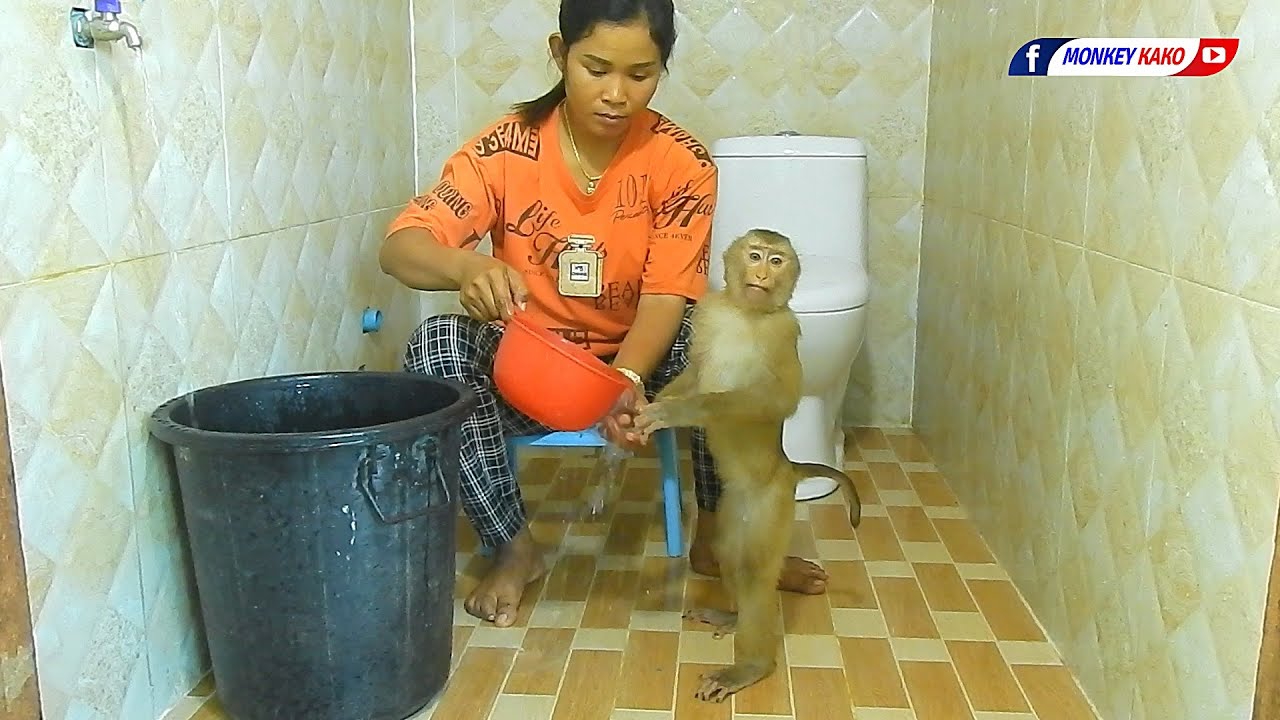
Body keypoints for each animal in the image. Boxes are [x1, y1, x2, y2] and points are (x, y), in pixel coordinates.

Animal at [633, 228, 862, 702]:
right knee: (729, 554)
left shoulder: (784, 329)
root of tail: (786, 468)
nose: (761, 275)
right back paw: (734, 616)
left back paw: (752, 665)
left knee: (756, 571)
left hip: (770, 510)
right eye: (755, 256)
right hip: (735, 510)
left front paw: (679, 412)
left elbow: (774, 400)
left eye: (777, 261)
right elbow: (696, 371)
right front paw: (653, 405)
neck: (745, 312)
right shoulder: (709, 312)